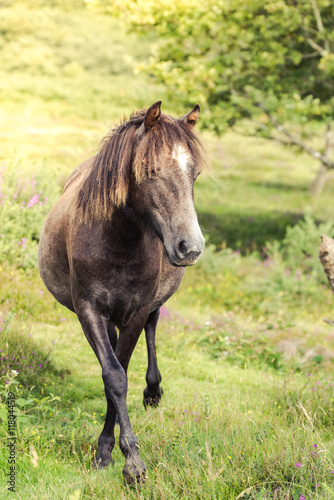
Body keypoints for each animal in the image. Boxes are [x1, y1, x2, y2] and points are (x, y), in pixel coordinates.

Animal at [37, 100, 207, 480]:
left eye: (195, 174)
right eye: (151, 170)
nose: (190, 247)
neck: (117, 241)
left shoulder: (137, 311)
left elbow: (123, 370)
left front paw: (119, 454)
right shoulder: (89, 311)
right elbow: (113, 376)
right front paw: (119, 458)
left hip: (149, 308)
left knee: (152, 331)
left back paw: (153, 391)